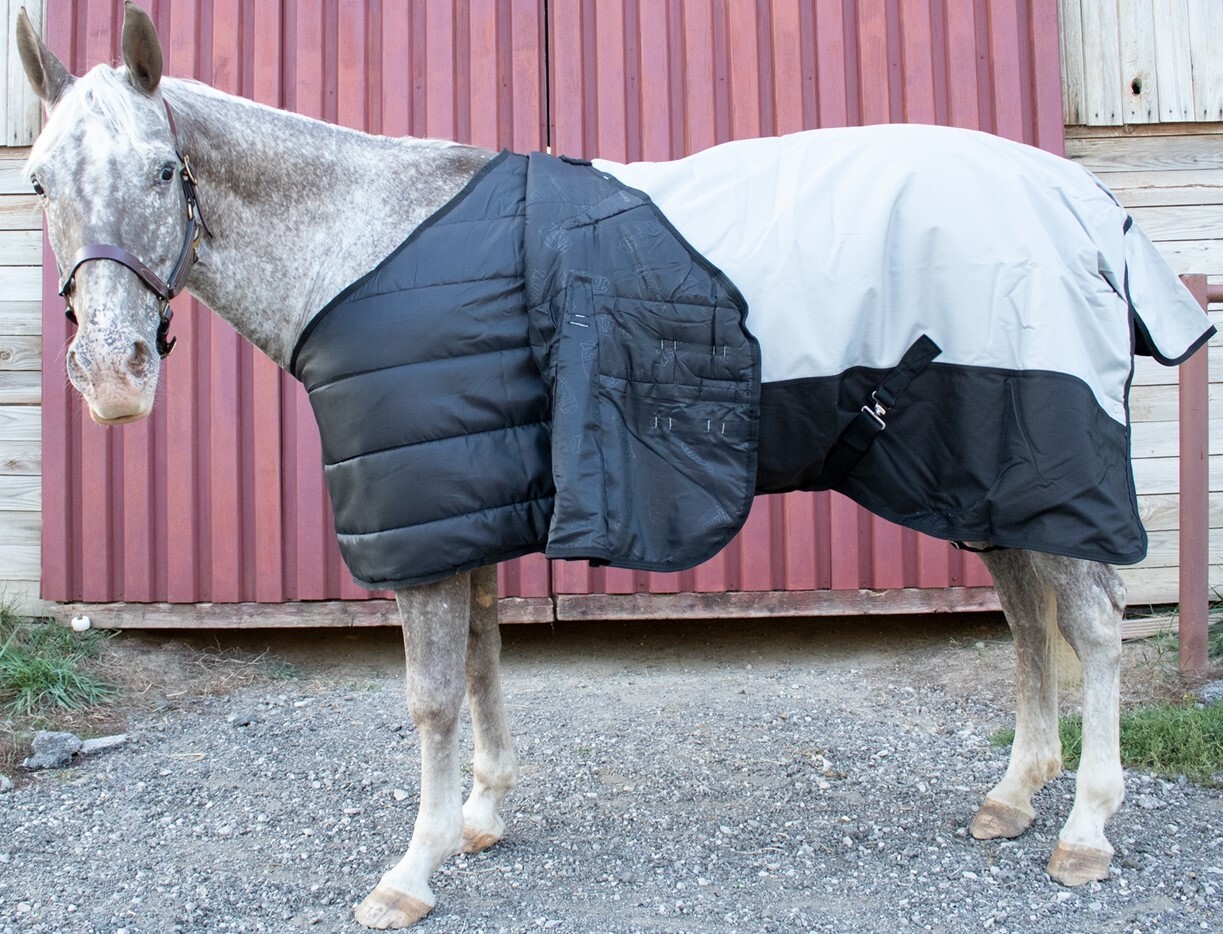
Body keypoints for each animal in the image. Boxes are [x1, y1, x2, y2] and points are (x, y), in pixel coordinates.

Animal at [17, 3, 1201, 928]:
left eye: (165, 170)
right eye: (36, 182)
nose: (111, 375)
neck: (371, 242)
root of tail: (1084, 203)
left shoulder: (427, 526)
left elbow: (431, 697)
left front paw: (410, 872)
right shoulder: (473, 504)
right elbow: (485, 663)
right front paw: (479, 818)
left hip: (1040, 463)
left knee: (1092, 624)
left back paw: (1084, 829)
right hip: (983, 474)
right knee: (1024, 616)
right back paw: (1012, 796)